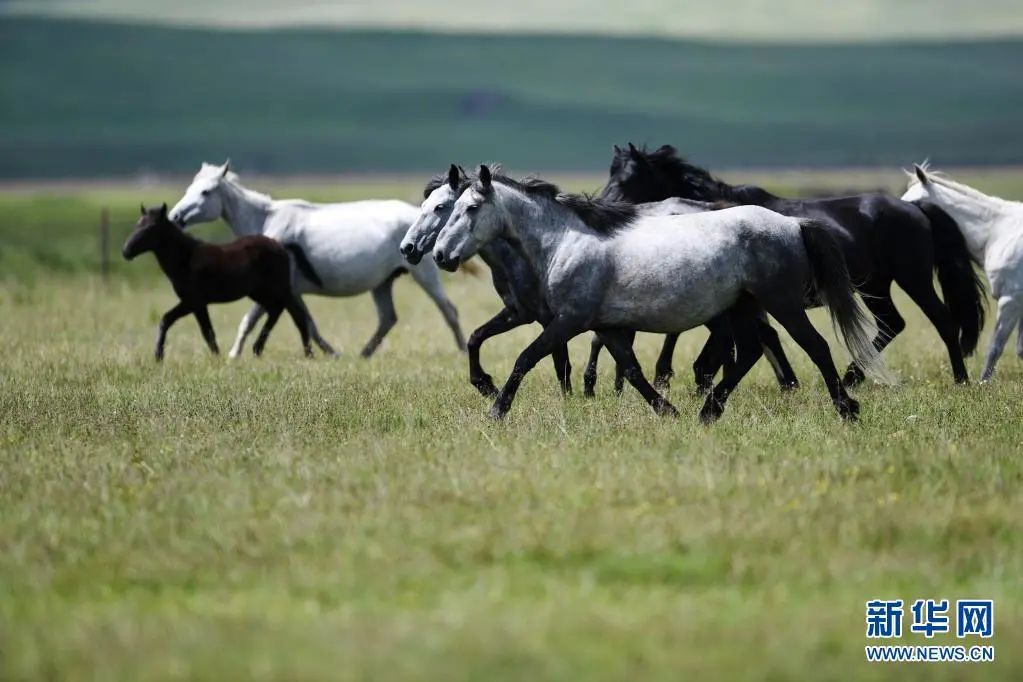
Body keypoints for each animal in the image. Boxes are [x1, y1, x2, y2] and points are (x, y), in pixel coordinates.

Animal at [120, 202, 313, 361]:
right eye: (137, 224)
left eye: (151, 228)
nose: (126, 251)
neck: (186, 257)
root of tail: (280, 245)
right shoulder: (196, 304)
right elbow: (199, 329)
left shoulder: (194, 301)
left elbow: (191, 326)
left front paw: (159, 355)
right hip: (259, 292)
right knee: (277, 310)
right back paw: (259, 349)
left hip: (278, 289)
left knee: (295, 315)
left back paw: (306, 353)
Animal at [168, 162, 468, 359]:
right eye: (189, 188)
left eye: (206, 192)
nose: (175, 216)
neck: (267, 223)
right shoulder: (293, 291)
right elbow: (308, 323)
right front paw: (330, 352)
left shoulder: (277, 289)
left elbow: (249, 320)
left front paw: (232, 354)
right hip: (382, 283)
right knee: (388, 318)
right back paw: (364, 353)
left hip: (424, 275)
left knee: (449, 311)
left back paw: (463, 350)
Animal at [431, 165, 879, 421]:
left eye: (469, 209)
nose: (439, 254)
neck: (565, 241)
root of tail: (793, 225)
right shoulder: (606, 327)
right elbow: (632, 371)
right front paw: (668, 411)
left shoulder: (569, 321)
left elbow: (526, 358)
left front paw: (496, 410)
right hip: (743, 306)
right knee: (750, 351)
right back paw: (707, 412)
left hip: (781, 302)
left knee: (815, 346)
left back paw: (848, 410)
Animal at [601, 143, 986, 388]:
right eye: (610, 175)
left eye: (626, 179)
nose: (601, 204)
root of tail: (916, 208)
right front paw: (786, 383)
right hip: (875, 285)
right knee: (892, 323)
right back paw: (854, 375)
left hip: (913, 278)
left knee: (942, 321)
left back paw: (960, 379)